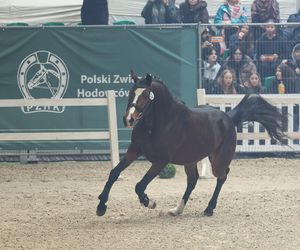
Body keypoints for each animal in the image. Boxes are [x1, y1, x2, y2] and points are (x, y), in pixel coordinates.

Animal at [96, 71, 286, 217]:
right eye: (131, 92)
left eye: (144, 95)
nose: (128, 119)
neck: (159, 122)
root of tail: (228, 118)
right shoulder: (134, 150)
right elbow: (114, 173)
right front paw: (101, 207)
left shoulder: (160, 161)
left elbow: (140, 185)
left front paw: (149, 202)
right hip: (190, 159)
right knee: (192, 181)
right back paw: (177, 210)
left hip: (217, 160)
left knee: (222, 176)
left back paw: (209, 209)